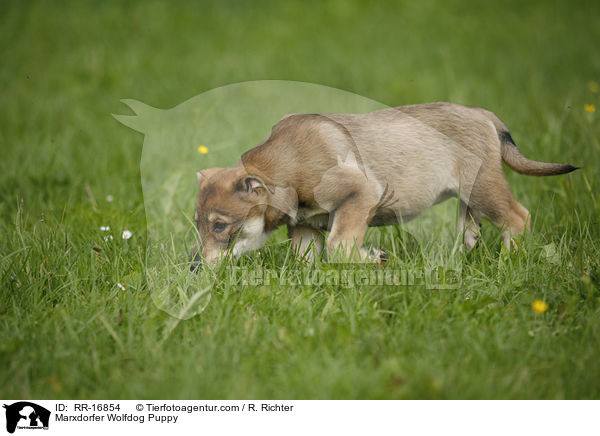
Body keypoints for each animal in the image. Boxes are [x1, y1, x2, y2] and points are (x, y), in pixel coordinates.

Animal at [190, 102, 576, 266]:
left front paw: (375, 257)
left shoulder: (360, 194)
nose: (193, 267)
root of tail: (485, 115)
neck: (286, 168)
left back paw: (509, 262)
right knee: (471, 228)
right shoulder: (304, 228)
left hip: (485, 188)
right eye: (196, 224)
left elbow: (339, 246)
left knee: (518, 218)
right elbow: (306, 258)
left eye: (220, 226)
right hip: (471, 195)